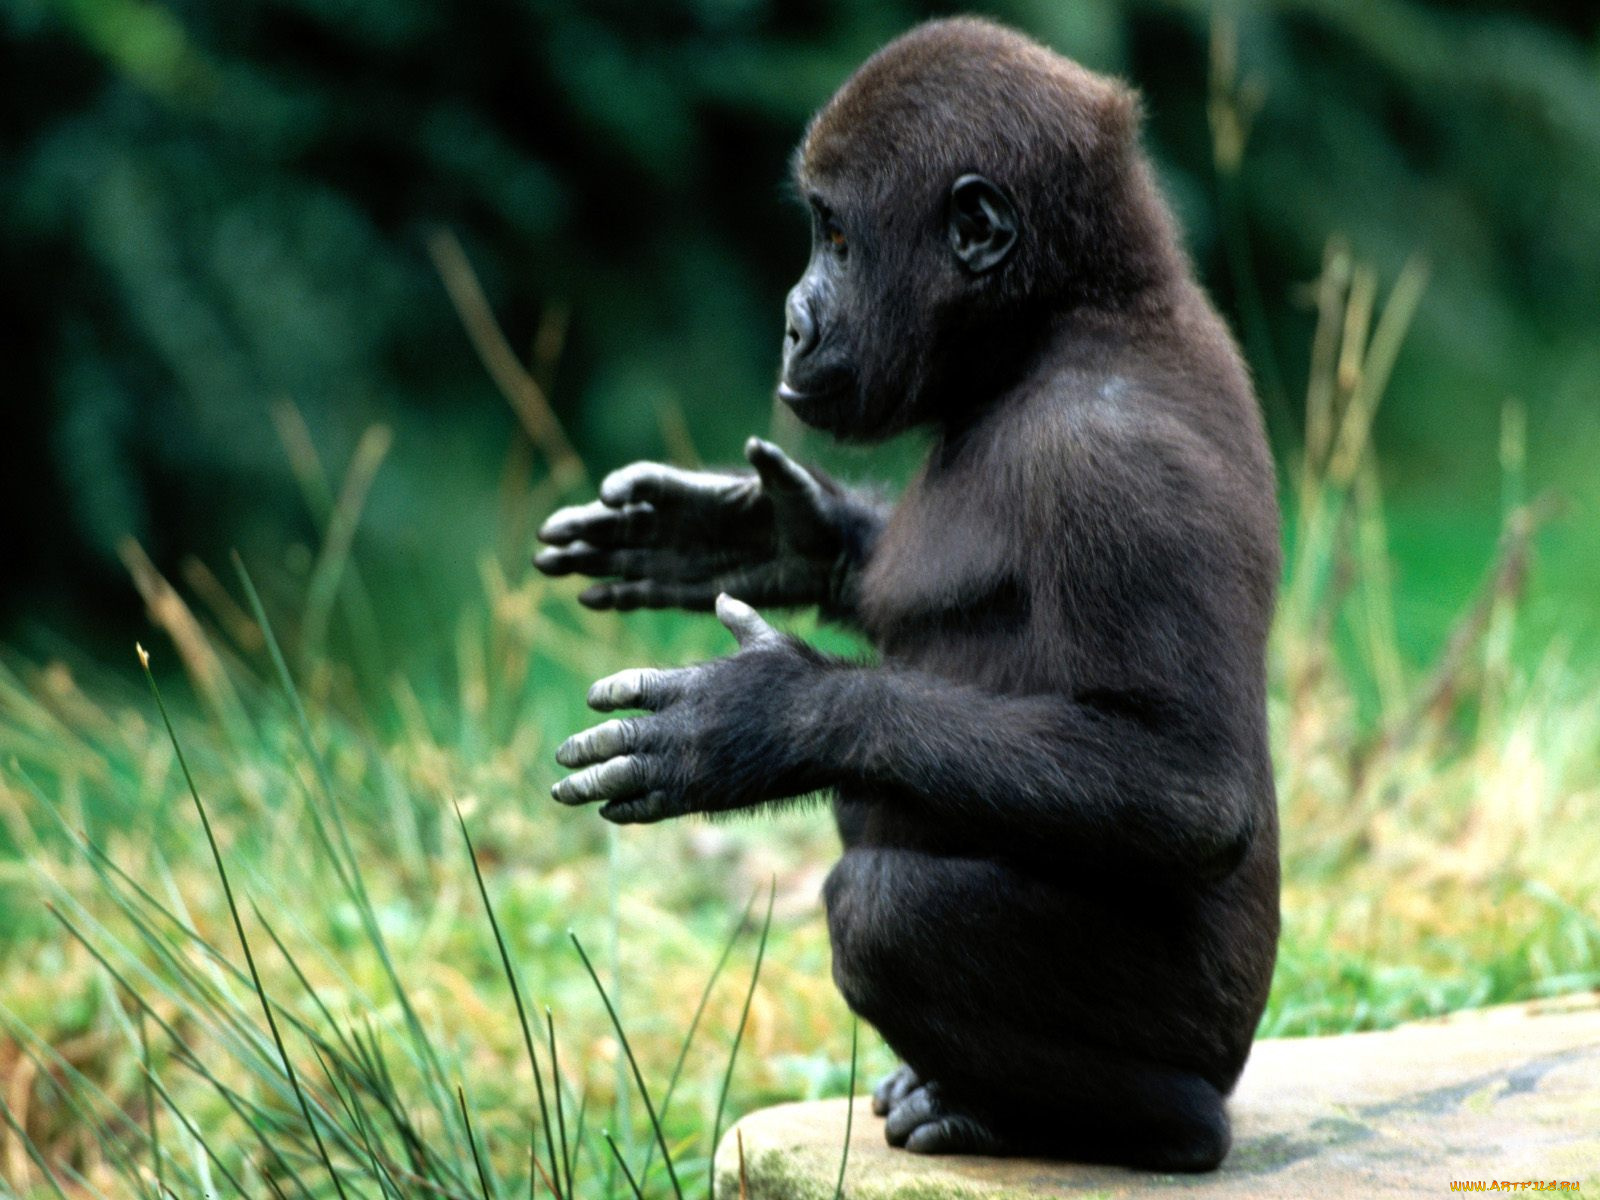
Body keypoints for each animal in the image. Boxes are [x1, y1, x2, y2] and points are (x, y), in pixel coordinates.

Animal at [534, 17, 1280, 1172]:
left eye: (837, 239)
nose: (791, 321)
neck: (1064, 321)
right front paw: (771, 536)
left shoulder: (1112, 456)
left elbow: (1189, 786)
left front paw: (766, 719)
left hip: (1207, 1028)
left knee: (885, 912)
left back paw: (1142, 1120)